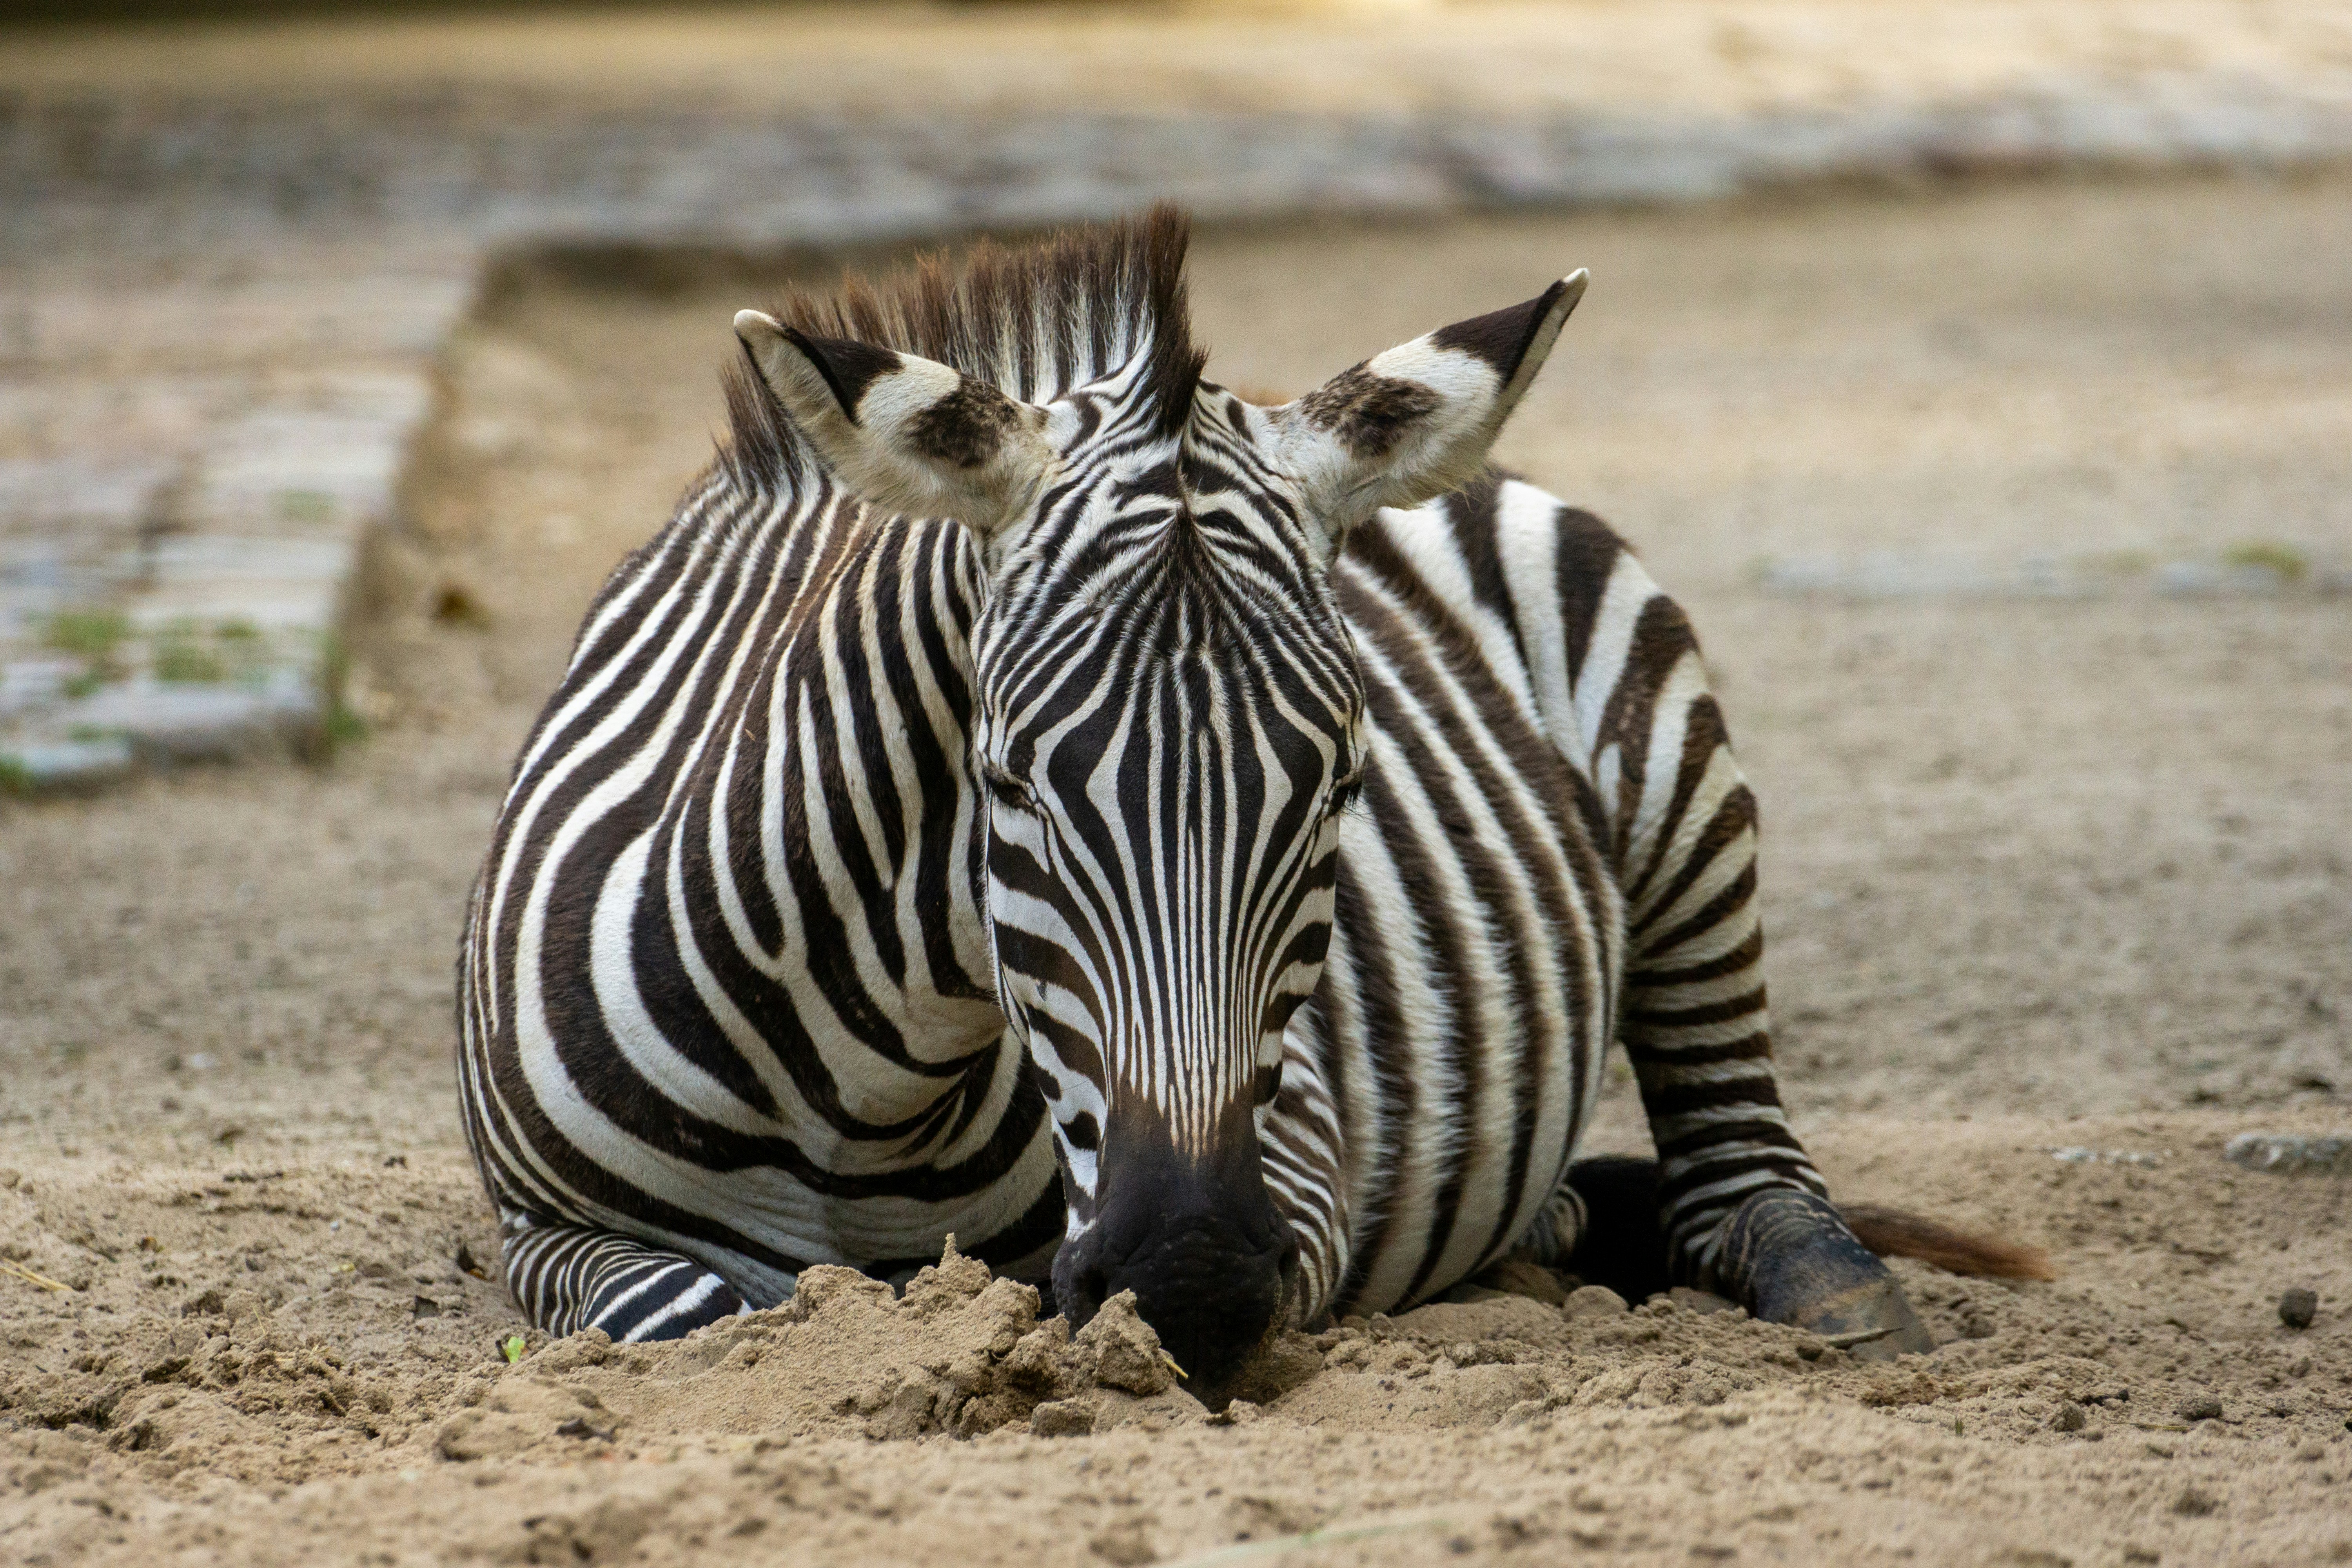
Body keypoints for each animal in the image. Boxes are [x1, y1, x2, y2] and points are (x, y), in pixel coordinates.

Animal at [458, 205, 1975, 1392]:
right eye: (1004, 780)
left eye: (1345, 786)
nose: (1186, 1281)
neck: (871, 1089)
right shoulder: (541, 1230)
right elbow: (692, 1307)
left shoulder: (1295, 1150)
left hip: (1677, 778)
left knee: (1739, 1144)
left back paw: (1823, 1282)